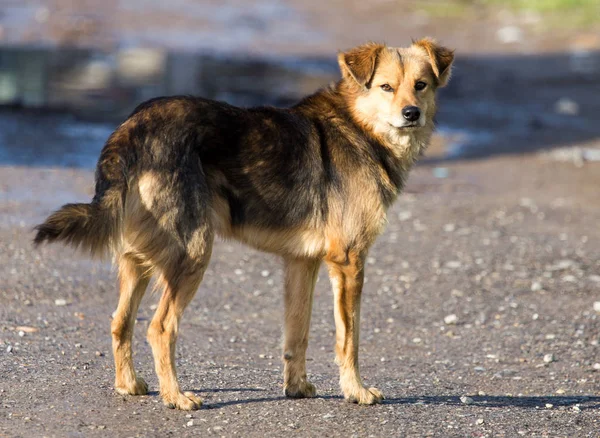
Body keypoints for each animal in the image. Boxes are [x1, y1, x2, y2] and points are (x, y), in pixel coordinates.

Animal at [34, 38, 454, 410]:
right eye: (386, 86)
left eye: (421, 85)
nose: (412, 114)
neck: (359, 126)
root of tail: (131, 128)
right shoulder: (349, 261)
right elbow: (348, 338)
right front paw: (356, 390)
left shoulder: (302, 263)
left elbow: (297, 333)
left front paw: (296, 388)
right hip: (193, 253)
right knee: (160, 328)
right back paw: (176, 397)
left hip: (139, 260)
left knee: (120, 323)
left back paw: (129, 385)